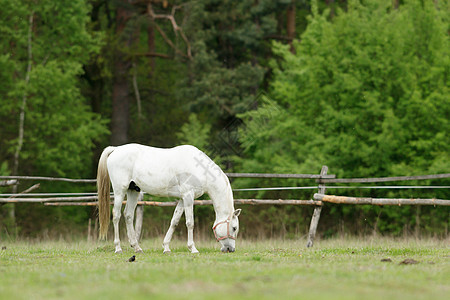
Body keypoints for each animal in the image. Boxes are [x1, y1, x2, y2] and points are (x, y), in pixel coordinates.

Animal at [96, 143, 241, 253]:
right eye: (234, 228)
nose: (230, 249)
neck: (200, 169)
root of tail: (115, 149)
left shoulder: (183, 199)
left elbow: (174, 221)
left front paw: (166, 247)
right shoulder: (188, 196)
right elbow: (190, 223)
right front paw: (193, 248)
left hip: (133, 190)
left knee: (128, 215)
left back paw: (137, 247)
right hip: (120, 191)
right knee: (116, 215)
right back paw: (118, 248)